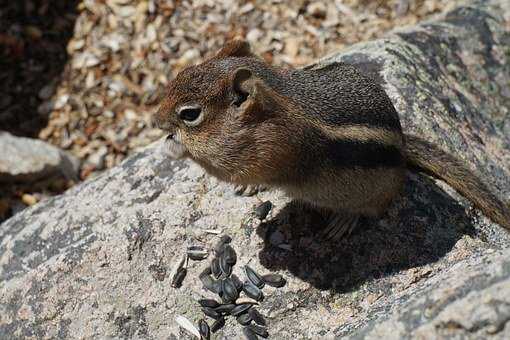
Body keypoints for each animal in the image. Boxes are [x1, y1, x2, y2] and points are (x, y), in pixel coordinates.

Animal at [152, 39, 510, 238]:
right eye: (180, 74)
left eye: (190, 113)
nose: (154, 120)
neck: (277, 94)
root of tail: (403, 144)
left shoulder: (269, 151)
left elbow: (231, 167)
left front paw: (175, 148)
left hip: (375, 191)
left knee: (373, 206)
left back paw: (344, 221)